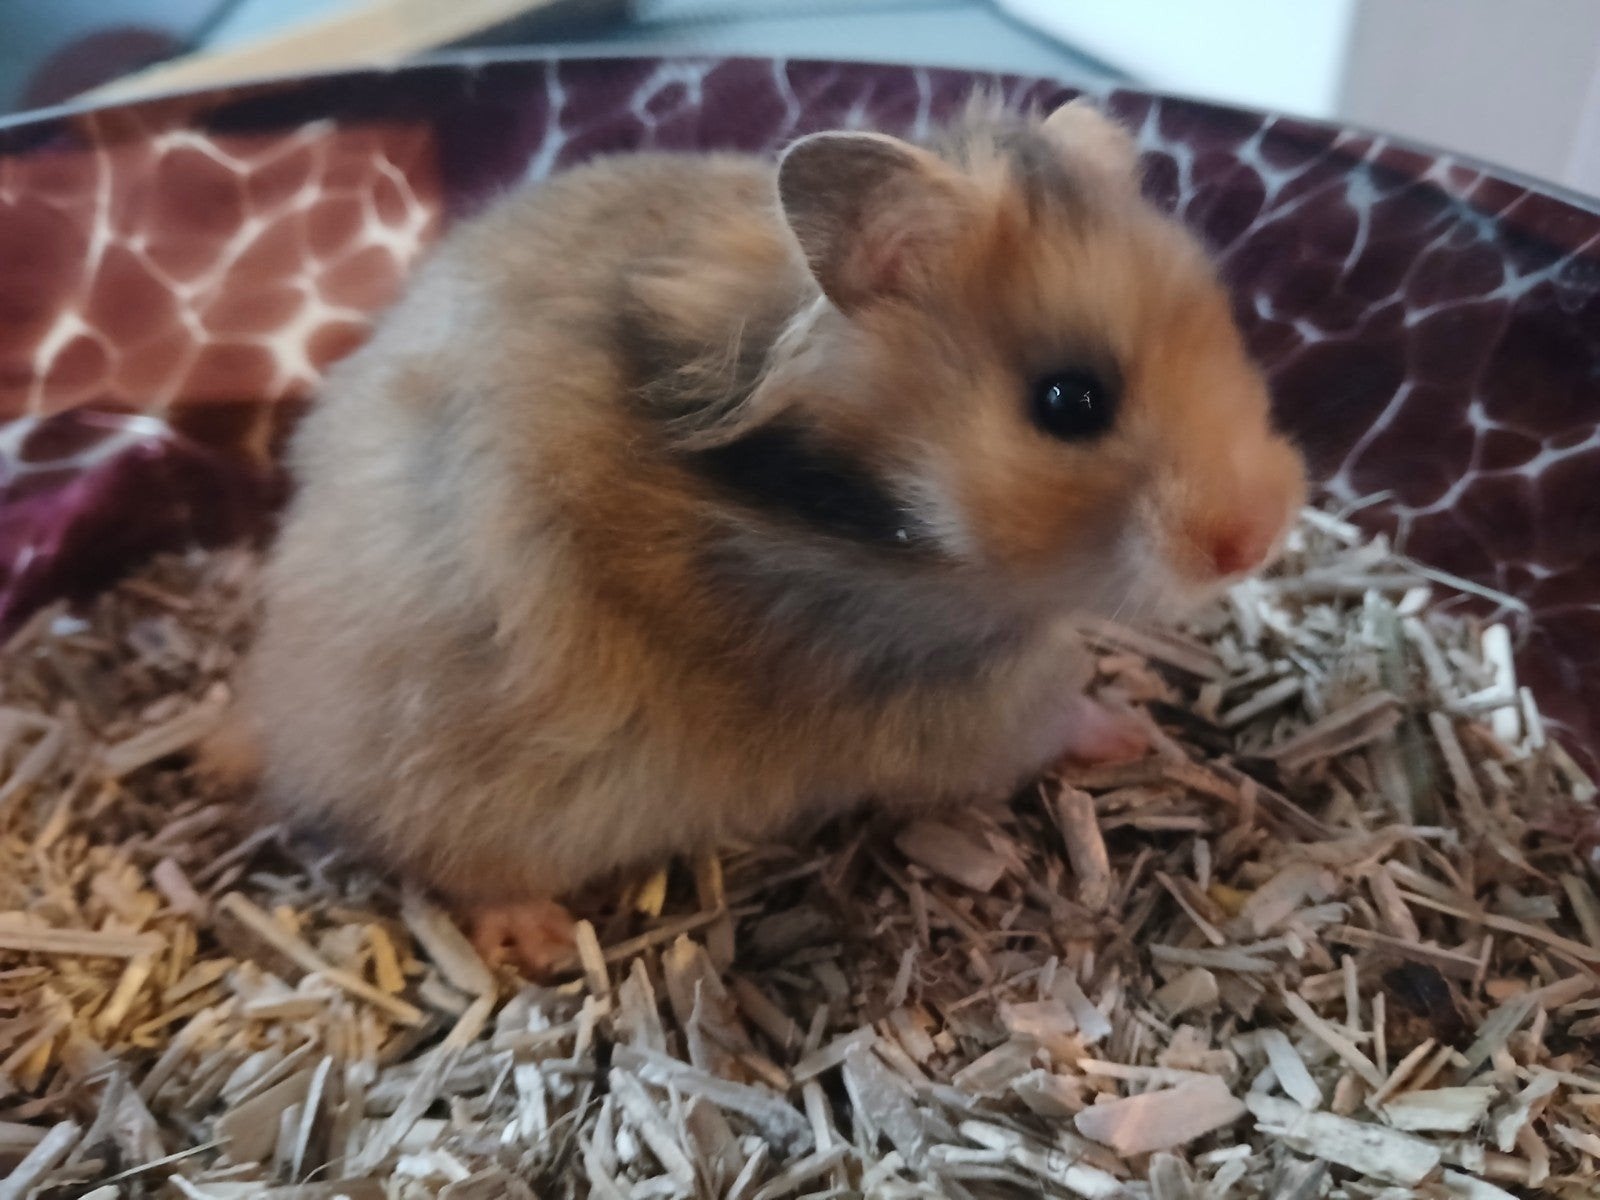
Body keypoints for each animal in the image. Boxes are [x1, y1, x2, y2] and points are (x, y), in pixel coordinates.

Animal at [224, 98, 1306, 969]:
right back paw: (536, 940)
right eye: (1069, 401)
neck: (869, 515)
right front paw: (1133, 731)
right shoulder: (949, 698)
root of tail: (274, 722)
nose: (1254, 542)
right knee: (444, 860)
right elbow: (1050, 714)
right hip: (466, 774)